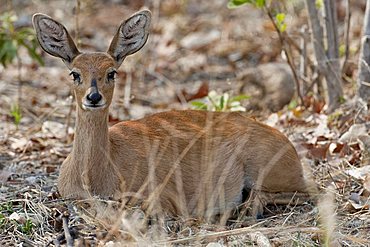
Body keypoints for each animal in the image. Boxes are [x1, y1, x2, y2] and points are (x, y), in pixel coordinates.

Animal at [32, 10, 312, 218]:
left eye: (112, 72)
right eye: (74, 73)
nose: (93, 97)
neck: (93, 177)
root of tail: (287, 144)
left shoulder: (162, 198)